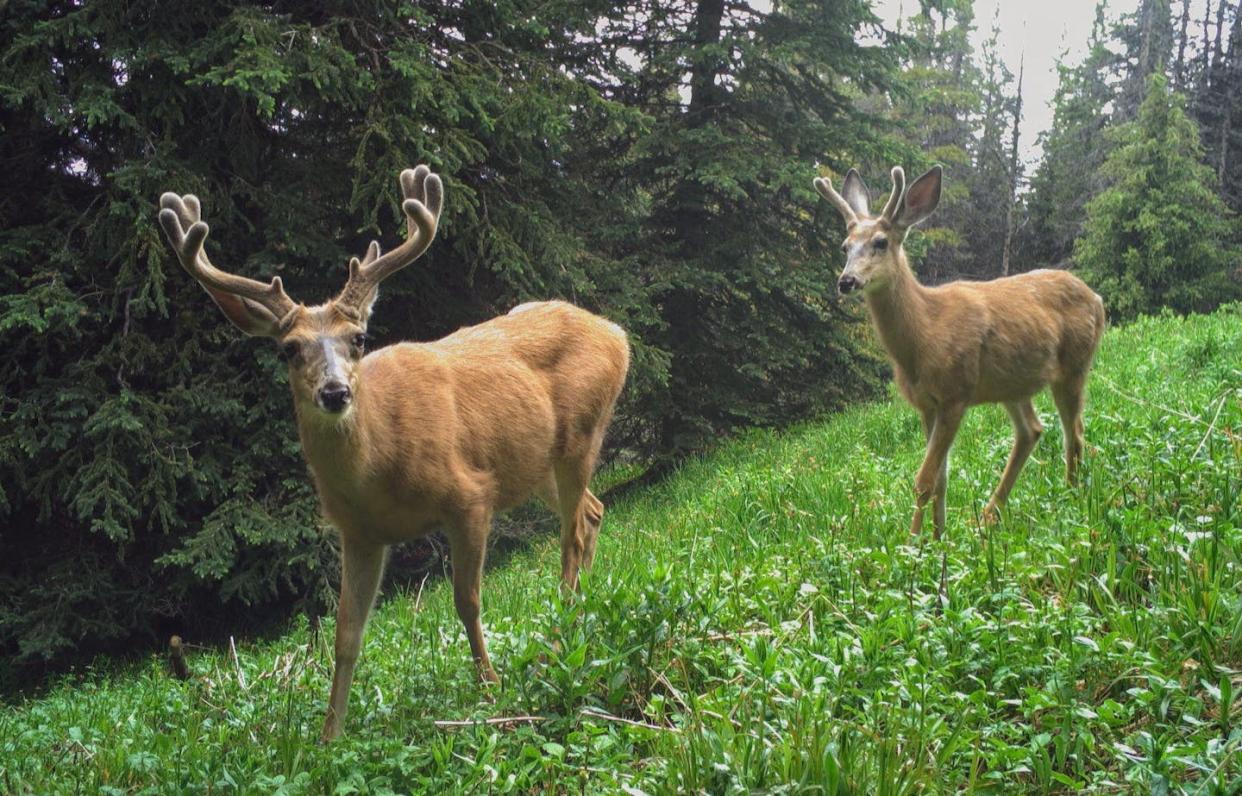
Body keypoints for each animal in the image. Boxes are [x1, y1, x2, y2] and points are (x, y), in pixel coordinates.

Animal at [157, 166, 630, 740]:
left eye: (358, 338)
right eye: (288, 348)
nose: (335, 392)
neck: (379, 469)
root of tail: (615, 332)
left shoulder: (470, 496)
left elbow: (466, 600)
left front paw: (490, 686)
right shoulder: (358, 533)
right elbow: (345, 634)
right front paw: (329, 736)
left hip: (582, 432)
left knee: (573, 532)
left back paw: (562, 631)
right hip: (537, 465)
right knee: (594, 510)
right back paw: (580, 606)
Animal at [814, 167, 1107, 541]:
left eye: (881, 242)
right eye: (845, 246)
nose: (846, 281)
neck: (925, 334)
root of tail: (1097, 298)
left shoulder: (956, 394)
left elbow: (924, 480)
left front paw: (913, 543)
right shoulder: (927, 404)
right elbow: (940, 479)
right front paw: (939, 537)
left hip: (1075, 366)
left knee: (1075, 433)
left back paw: (1070, 496)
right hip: (1013, 383)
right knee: (1032, 430)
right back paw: (989, 516)